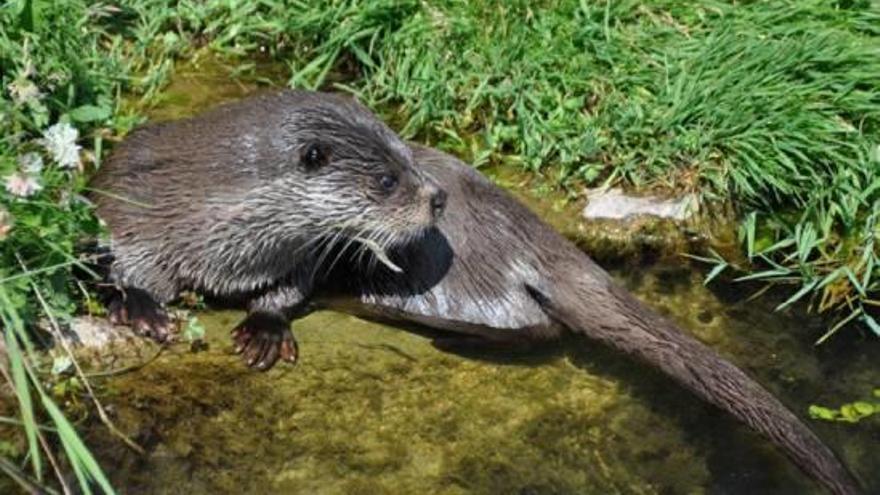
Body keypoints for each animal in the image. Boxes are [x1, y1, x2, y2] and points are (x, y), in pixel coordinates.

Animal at [91, 91, 446, 366]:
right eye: (387, 180)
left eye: (411, 157)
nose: (440, 198)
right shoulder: (129, 211)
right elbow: (121, 264)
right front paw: (141, 308)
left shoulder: (297, 257)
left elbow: (291, 290)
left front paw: (265, 328)